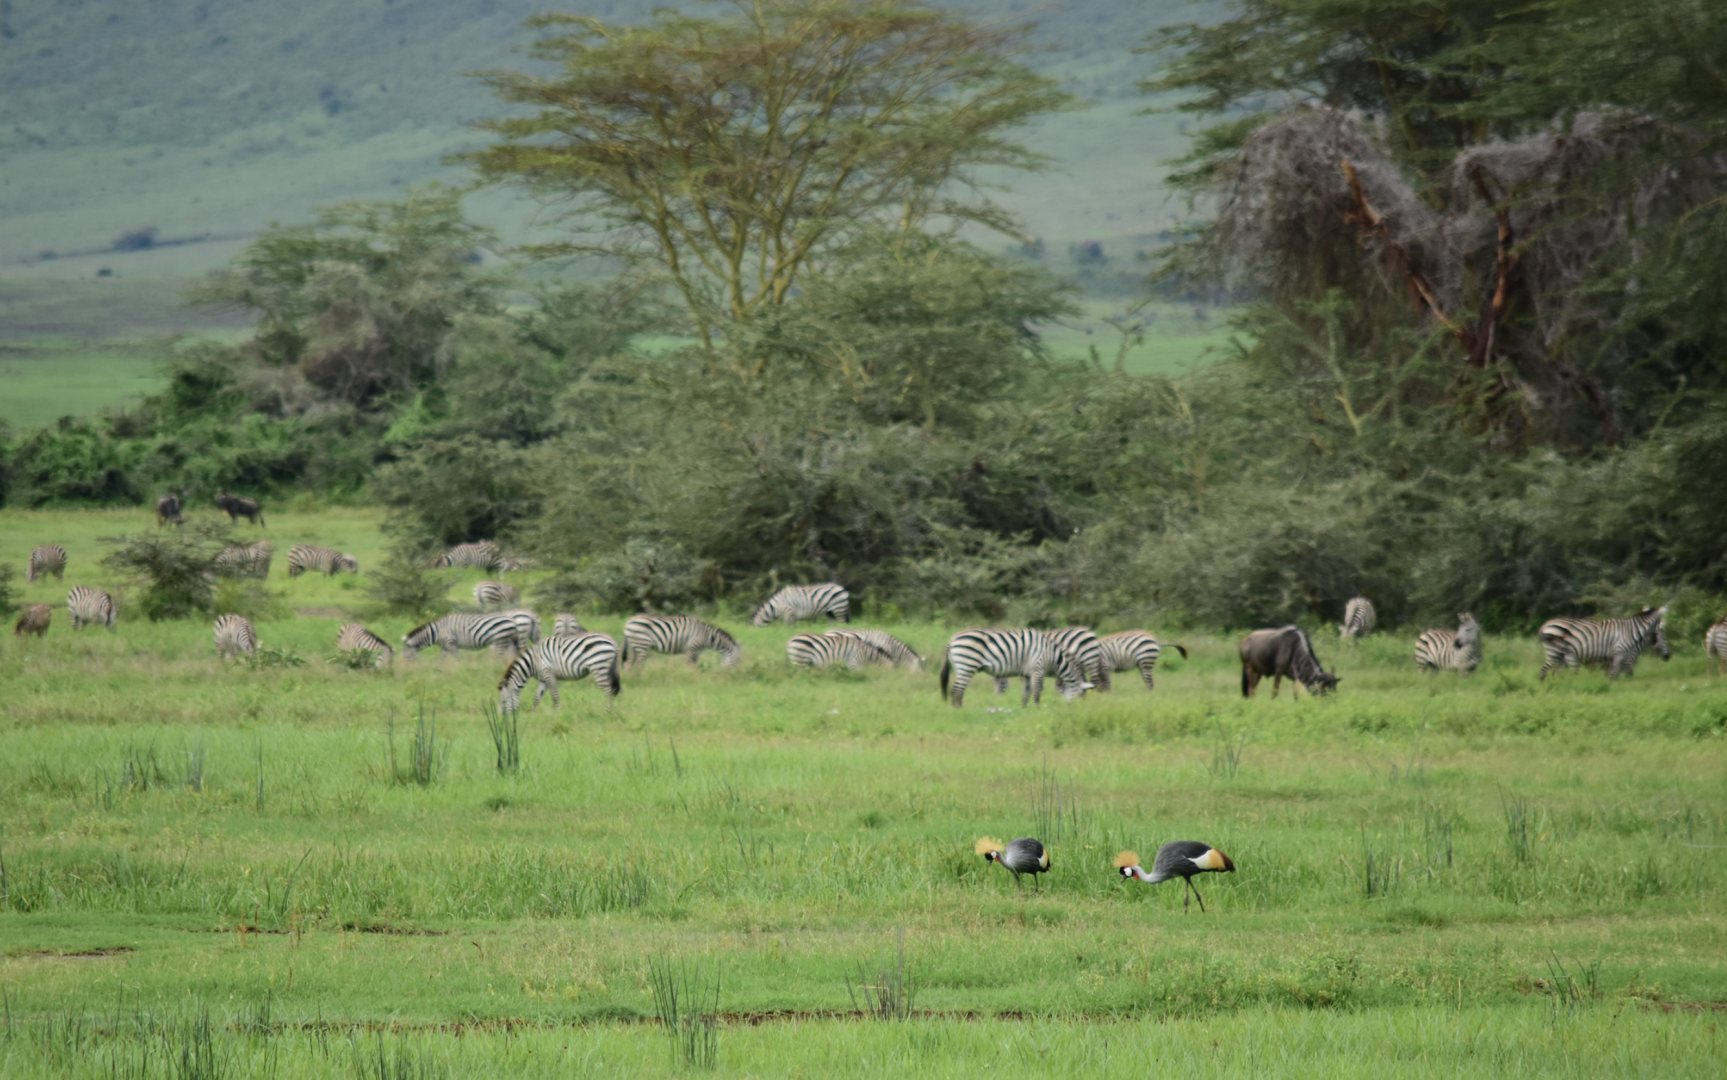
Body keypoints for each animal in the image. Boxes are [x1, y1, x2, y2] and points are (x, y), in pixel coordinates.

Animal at [940, 629, 1090, 708]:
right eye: (1079, 693)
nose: (1070, 709)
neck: (1052, 656)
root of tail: (953, 639)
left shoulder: (1028, 674)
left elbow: (1026, 693)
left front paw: (1024, 710)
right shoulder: (1038, 669)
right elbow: (1037, 692)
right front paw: (1038, 710)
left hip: (960, 667)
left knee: (956, 689)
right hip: (967, 664)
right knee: (957, 690)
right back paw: (959, 711)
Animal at [1538, 606, 1670, 681]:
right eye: (1662, 636)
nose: (1668, 656)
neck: (1631, 631)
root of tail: (1545, 625)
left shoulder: (1612, 660)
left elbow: (1614, 675)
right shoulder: (1620, 655)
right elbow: (1616, 676)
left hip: (1561, 656)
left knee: (1556, 673)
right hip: (1554, 651)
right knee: (1543, 671)